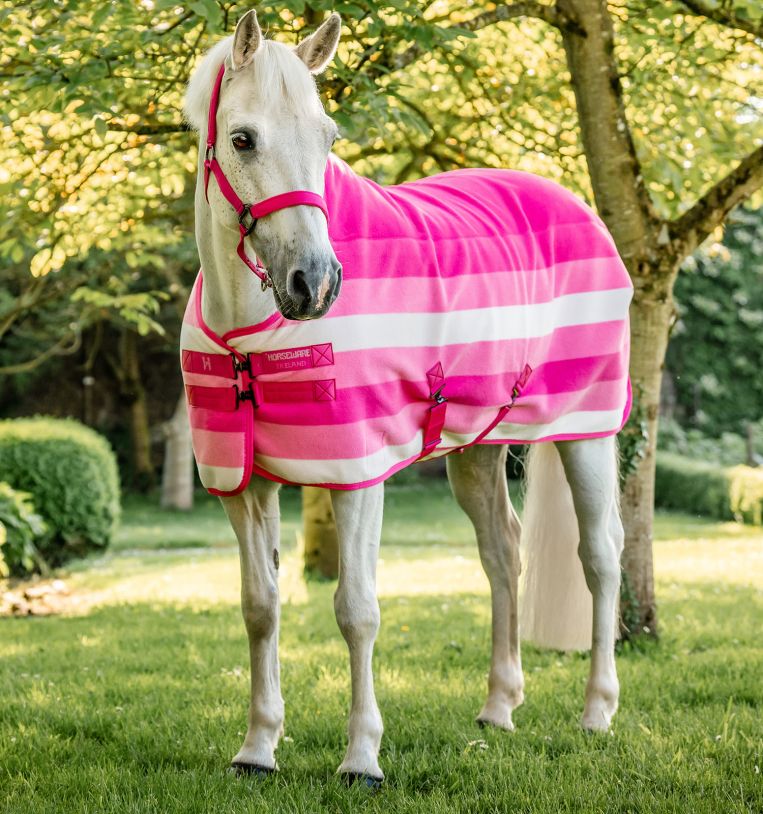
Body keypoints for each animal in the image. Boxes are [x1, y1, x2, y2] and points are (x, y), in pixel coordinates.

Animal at [182, 10, 632, 785]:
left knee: (600, 555)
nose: (315, 282)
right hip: (477, 449)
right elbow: (259, 607)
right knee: (502, 553)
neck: (251, 335)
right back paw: (498, 707)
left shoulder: (356, 474)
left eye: (328, 137)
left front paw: (361, 757)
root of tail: (574, 202)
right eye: (242, 139)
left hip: (588, 432)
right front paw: (258, 747)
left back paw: (597, 711)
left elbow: (356, 610)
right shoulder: (243, 484)